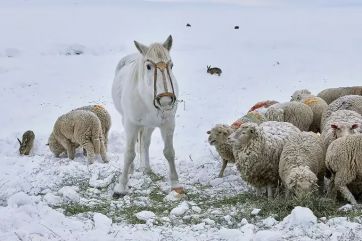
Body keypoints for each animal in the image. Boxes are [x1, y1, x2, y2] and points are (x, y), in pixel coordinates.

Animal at [111, 35, 182, 198]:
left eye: (171, 65)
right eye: (149, 66)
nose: (166, 100)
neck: (146, 97)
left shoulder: (168, 123)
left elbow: (169, 152)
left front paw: (175, 184)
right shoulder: (131, 124)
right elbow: (129, 153)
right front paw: (121, 187)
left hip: (150, 125)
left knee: (145, 142)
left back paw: (146, 168)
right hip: (127, 121)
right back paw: (131, 169)